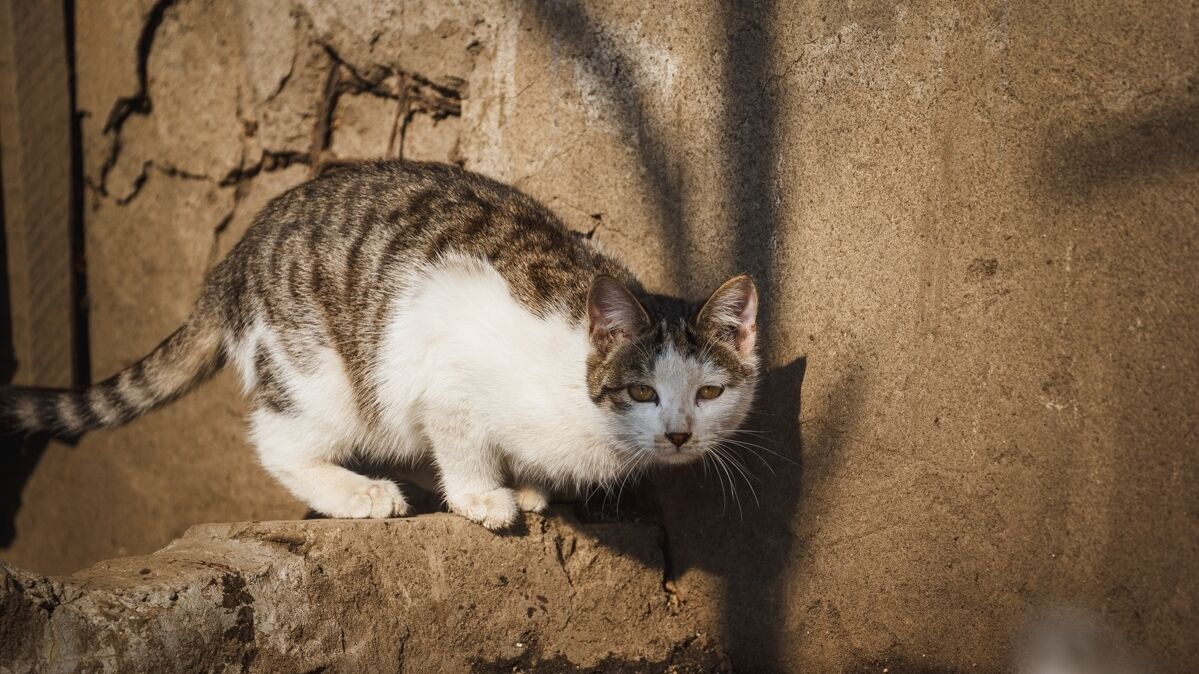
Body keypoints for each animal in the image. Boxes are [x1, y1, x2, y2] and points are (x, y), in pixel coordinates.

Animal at [2, 159, 757, 527]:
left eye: (709, 392)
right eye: (641, 391)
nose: (678, 434)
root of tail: (232, 261)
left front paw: (528, 484)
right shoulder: (448, 369)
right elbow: (461, 439)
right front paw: (485, 497)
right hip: (322, 374)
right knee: (278, 441)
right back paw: (359, 494)